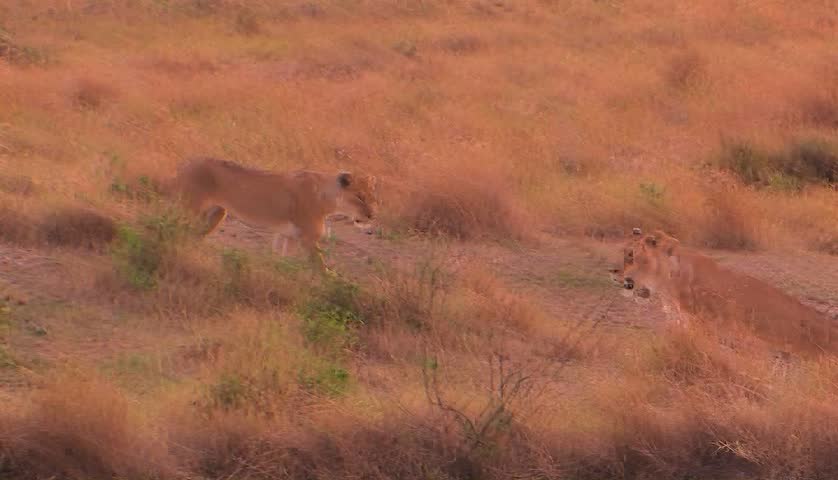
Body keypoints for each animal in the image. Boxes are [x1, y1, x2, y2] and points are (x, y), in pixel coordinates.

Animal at [163, 157, 379, 273]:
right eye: (360, 197)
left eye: (372, 197)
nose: (372, 216)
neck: (327, 198)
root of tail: (185, 164)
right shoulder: (308, 239)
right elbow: (321, 269)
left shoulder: (288, 236)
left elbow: (281, 261)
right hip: (188, 208)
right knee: (171, 228)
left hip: (216, 214)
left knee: (190, 235)